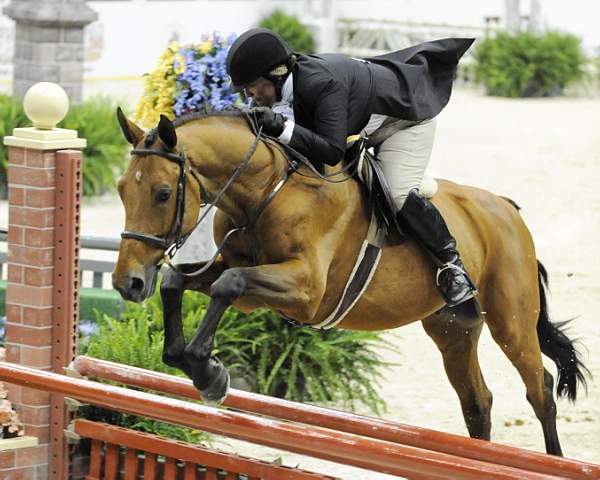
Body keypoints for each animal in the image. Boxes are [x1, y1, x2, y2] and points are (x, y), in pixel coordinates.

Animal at [111, 107, 584, 456]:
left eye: (163, 194)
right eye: (121, 190)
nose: (126, 283)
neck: (266, 190)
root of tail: (505, 208)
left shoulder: (305, 291)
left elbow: (229, 284)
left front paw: (208, 373)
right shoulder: (245, 277)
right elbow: (178, 281)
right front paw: (188, 361)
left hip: (511, 321)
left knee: (539, 389)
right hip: (453, 330)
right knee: (477, 402)